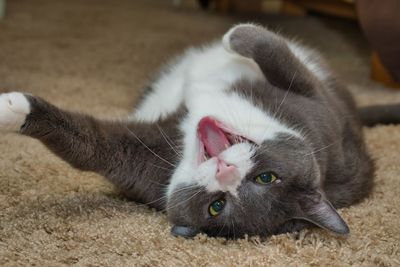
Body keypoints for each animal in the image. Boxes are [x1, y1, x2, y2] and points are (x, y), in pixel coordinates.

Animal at [1, 24, 398, 240]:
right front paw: (236, 36)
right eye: (268, 176)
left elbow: (90, 145)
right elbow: (276, 53)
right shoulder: (316, 107)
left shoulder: (145, 160)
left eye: (217, 205)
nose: (226, 170)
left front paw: (12, 108)